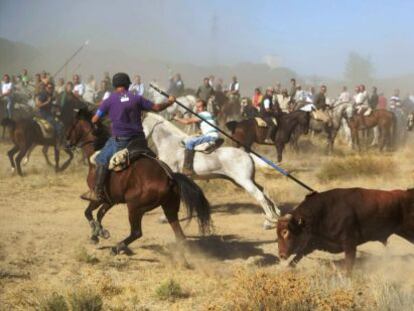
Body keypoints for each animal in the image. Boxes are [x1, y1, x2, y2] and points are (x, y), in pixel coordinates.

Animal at [66, 109, 212, 256]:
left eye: (72, 124)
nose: (67, 142)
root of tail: (170, 177)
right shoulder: (110, 200)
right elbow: (99, 214)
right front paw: (98, 234)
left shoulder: (98, 196)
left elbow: (88, 213)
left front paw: (98, 233)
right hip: (169, 208)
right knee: (179, 235)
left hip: (135, 208)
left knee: (136, 232)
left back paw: (117, 248)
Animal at [142, 112, 282, 229]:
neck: (170, 143)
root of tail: (247, 154)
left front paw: (164, 218)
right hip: (243, 181)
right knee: (264, 192)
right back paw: (273, 216)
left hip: (244, 182)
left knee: (260, 197)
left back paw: (270, 221)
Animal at [276, 188, 414, 272]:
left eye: (285, 231)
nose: (281, 255)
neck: (322, 213)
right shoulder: (314, 243)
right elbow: (298, 256)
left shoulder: (350, 244)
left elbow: (349, 265)